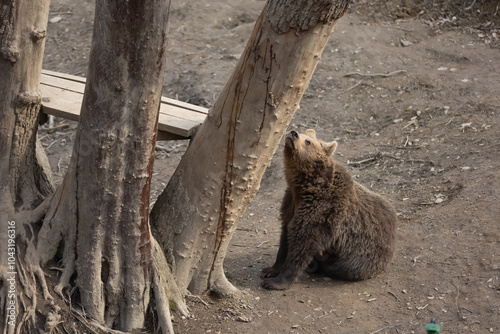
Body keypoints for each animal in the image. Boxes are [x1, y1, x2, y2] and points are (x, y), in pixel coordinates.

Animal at [262, 129, 398, 290]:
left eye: (308, 141)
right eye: (303, 134)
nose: (293, 133)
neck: (305, 187)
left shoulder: (322, 211)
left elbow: (302, 243)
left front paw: (276, 282)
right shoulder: (291, 204)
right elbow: (285, 237)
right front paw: (270, 270)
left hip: (366, 253)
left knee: (344, 267)